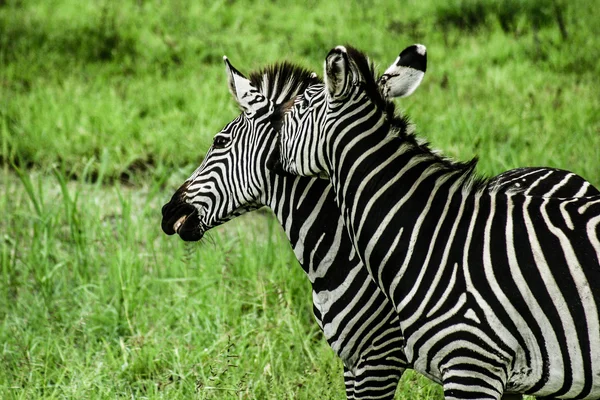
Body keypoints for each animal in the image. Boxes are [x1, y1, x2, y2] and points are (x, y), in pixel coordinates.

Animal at [162, 54, 596, 398]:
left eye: (219, 142)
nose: (168, 212)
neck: (337, 252)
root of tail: (558, 171)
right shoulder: (353, 363)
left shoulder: (380, 359)